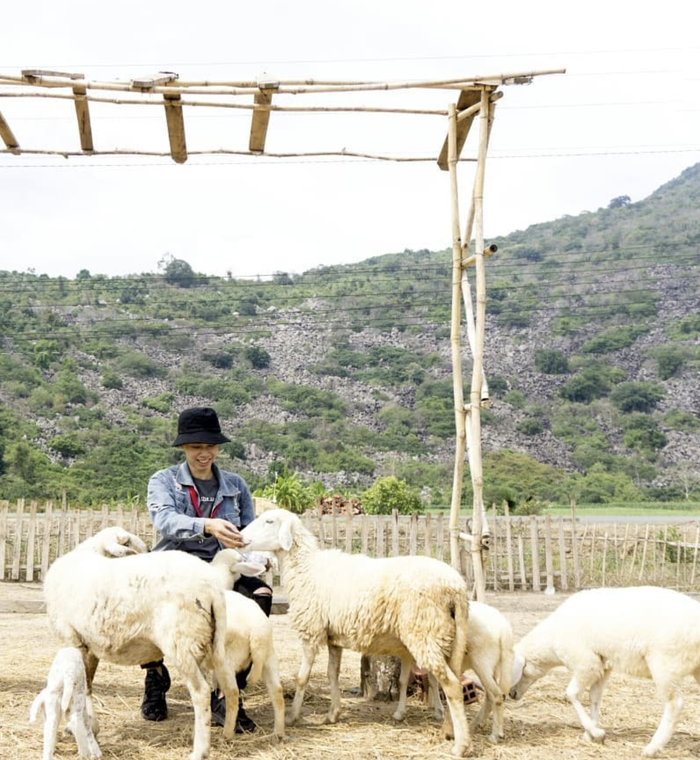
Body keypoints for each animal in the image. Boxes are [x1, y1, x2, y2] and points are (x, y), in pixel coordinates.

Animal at [43, 532, 262, 760]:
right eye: (128, 542)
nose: (148, 549)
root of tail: (212, 590)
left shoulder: (72, 638)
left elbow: (79, 688)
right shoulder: (89, 644)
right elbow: (87, 686)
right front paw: (90, 727)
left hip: (180, 642)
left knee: (200, 692)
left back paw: (199, 751)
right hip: (211, 644)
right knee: (231, 689)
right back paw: (227, 734)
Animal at [223, 592, 286, 740]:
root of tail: (257, 630)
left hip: (227, 660)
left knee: (233, 693)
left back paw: (227, 734)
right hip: (269, 657)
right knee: (277, 692)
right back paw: (279, 733)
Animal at [238, 508, 474, 756]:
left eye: (269, 521)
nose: (241, 536)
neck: (306, 568)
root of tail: (457, 587)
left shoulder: (311, 630)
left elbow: (302, 678)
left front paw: (292, 716)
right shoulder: (333, 638)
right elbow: (332, 674)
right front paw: (332, 714)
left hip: (425, 631)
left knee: (452, 685)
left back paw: (460, 745)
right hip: (441, 635)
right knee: (447, 681)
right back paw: (446, 726)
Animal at [508, 584, 700, 756]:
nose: (511, 694)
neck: (551, 640)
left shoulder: (586, 663)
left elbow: (571, 694)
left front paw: (596, 732)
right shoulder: (602, 666)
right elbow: (594, 698)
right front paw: (592, 733)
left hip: (664, 663)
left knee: (674, 704)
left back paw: (652, 748)